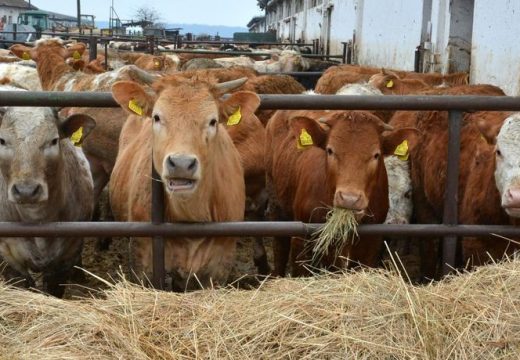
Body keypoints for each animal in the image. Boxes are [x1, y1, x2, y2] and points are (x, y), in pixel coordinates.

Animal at [264, 109, 418, 276]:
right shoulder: (301, 241)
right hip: (277, 207)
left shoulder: (371, 245)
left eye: (376, 155)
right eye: (330, 150)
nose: (349, 199)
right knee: (280, 247)